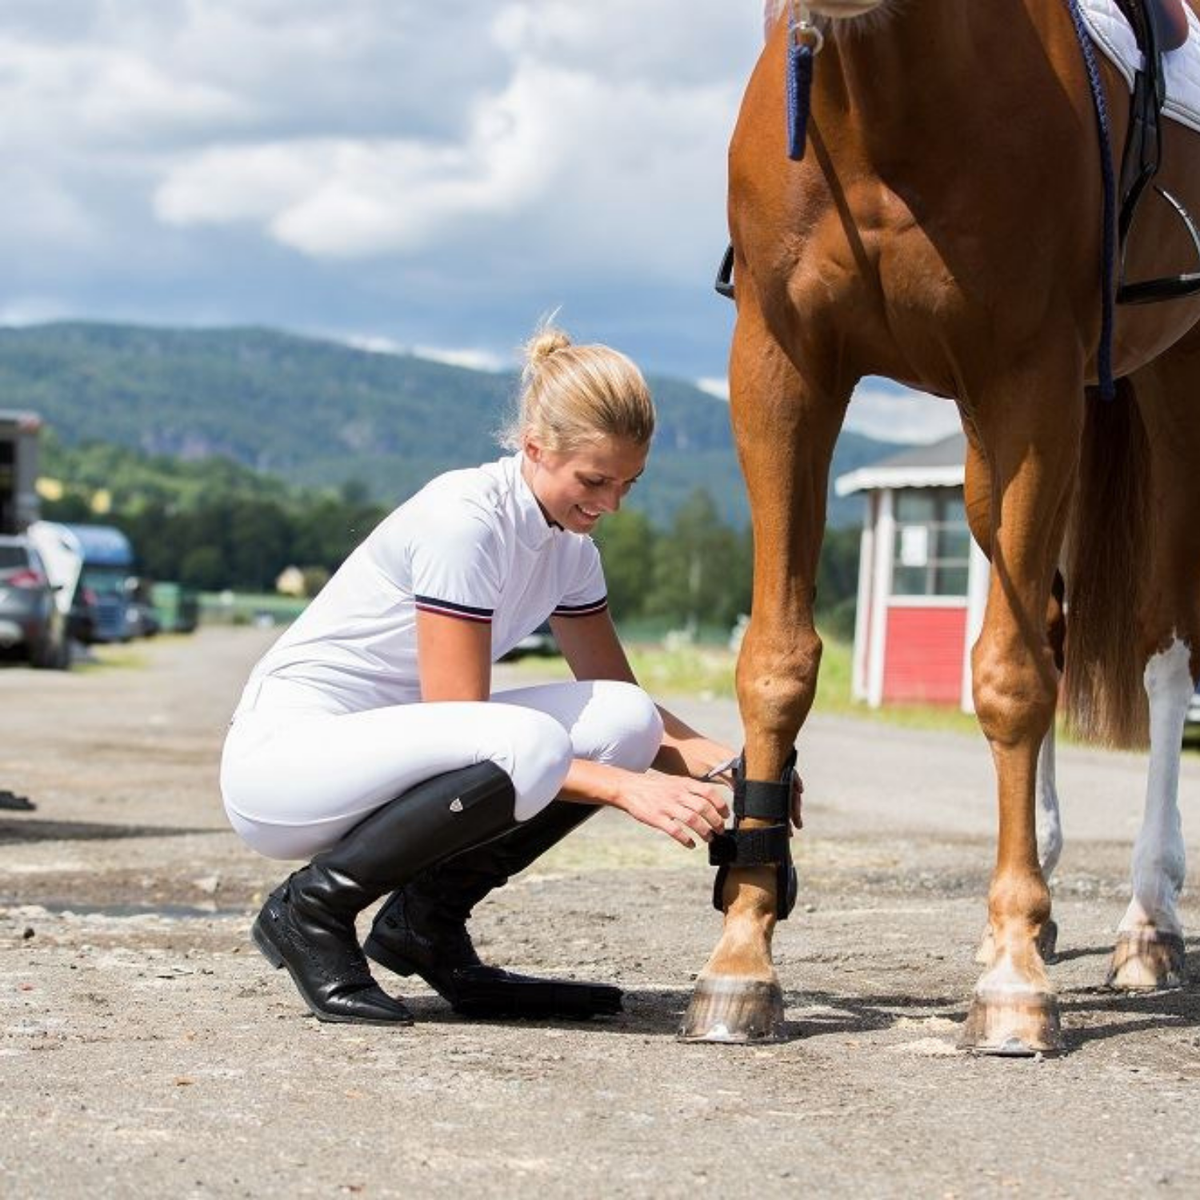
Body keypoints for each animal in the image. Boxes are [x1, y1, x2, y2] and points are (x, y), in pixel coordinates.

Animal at [679, 0, 1200, 1053]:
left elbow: (1009, 680)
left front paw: (1013, 982)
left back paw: (1147, 922)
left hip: (1167, 388)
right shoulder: (780, 370)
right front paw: (742, 955)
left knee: (1163, 663)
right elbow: (777, 661)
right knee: (1053, 622)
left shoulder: (1030, 380)